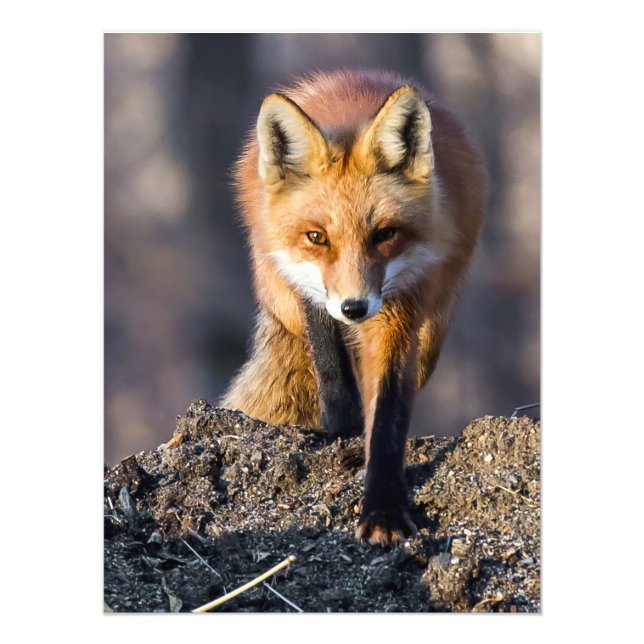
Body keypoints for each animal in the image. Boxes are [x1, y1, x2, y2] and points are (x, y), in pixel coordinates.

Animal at [221, 69, 486, 546]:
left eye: (385, 234)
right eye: (316, 237)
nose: (355, 307)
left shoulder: (401, 308)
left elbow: (388, 412)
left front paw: (383, 507)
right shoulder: (308, 289)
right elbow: (330, 365)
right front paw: (343, 430)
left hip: (433, 330)